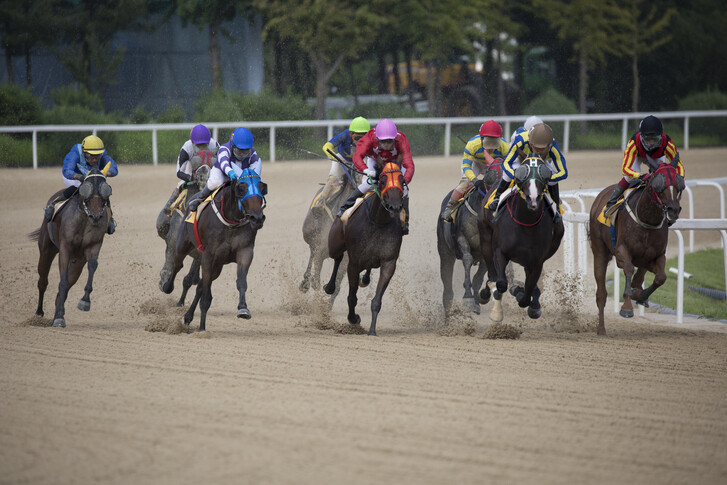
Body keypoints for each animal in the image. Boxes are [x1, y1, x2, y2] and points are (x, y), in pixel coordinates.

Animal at [28, 167, 112, 328]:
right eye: (86, 188)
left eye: (106, 189)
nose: (96, 216)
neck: (84, 218)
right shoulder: (65, 248)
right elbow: (62, 282)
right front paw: (58, 317)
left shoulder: (94, 245)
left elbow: (92, 265)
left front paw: (84, 302)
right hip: (46, 249)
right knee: (43, 281)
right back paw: (39, 314)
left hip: (78, 262)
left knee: (66, 285)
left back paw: (57, 314)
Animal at [162, 168, 268, 330]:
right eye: (241, 189)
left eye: (262, 188)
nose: (257, 218)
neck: (231, 222)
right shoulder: (208, 255)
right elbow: (205, 295)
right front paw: (202, 328)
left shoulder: (245, 251)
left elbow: (241, 281)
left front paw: (243, 308)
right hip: (183, 244)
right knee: (178, 265)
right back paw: (167, 286)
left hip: (217, 266)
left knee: (200, 286)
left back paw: (188, 316)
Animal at [322, 161, 404, 334]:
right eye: (382, 181)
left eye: (402, 180)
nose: (394, 207)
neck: (377, 221)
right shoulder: (353, 263)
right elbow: (352, 297)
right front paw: (353, 318)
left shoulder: (389, 262)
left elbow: (377, 300)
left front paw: (372, 330)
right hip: (334, 244)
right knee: (338, 257)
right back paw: (330, 286)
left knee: (367, 267)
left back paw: (365, 279)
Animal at [480, 155, 564, 322]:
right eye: (521, 174)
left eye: (544, 176)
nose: (533, 199)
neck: (526, 225)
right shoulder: (500, 252)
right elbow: (501, 284)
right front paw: (498, 305)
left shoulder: (537, 262)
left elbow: (526, 296)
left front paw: (523, 295)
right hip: (485, 238)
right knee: (492, 275)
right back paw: (487, 293)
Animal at [588, 161, 684, 334]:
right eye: (658, 184)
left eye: (679, 183)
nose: (673, 209)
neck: (647, 221)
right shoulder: (621, 251)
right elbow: (628, 269)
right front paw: (627, 306)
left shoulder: (658, 255)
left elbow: (661, 277)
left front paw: (640, 296)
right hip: (600, 252)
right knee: (601, 293)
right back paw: (601, 328)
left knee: (641, 274)